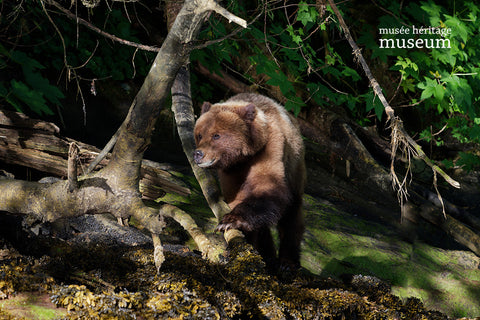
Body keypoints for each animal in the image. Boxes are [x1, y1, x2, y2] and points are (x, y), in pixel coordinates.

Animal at [193, 93, 306, 270]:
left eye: (216, 135)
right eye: (199, 134)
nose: (198, 154)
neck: (243, 157)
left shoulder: (269, 149)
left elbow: (266, 187)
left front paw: (230, 221)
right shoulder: (231, 172)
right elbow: (235, 197)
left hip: (295, 171)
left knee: (292, 216)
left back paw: (288, 261)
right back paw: (266, 253)